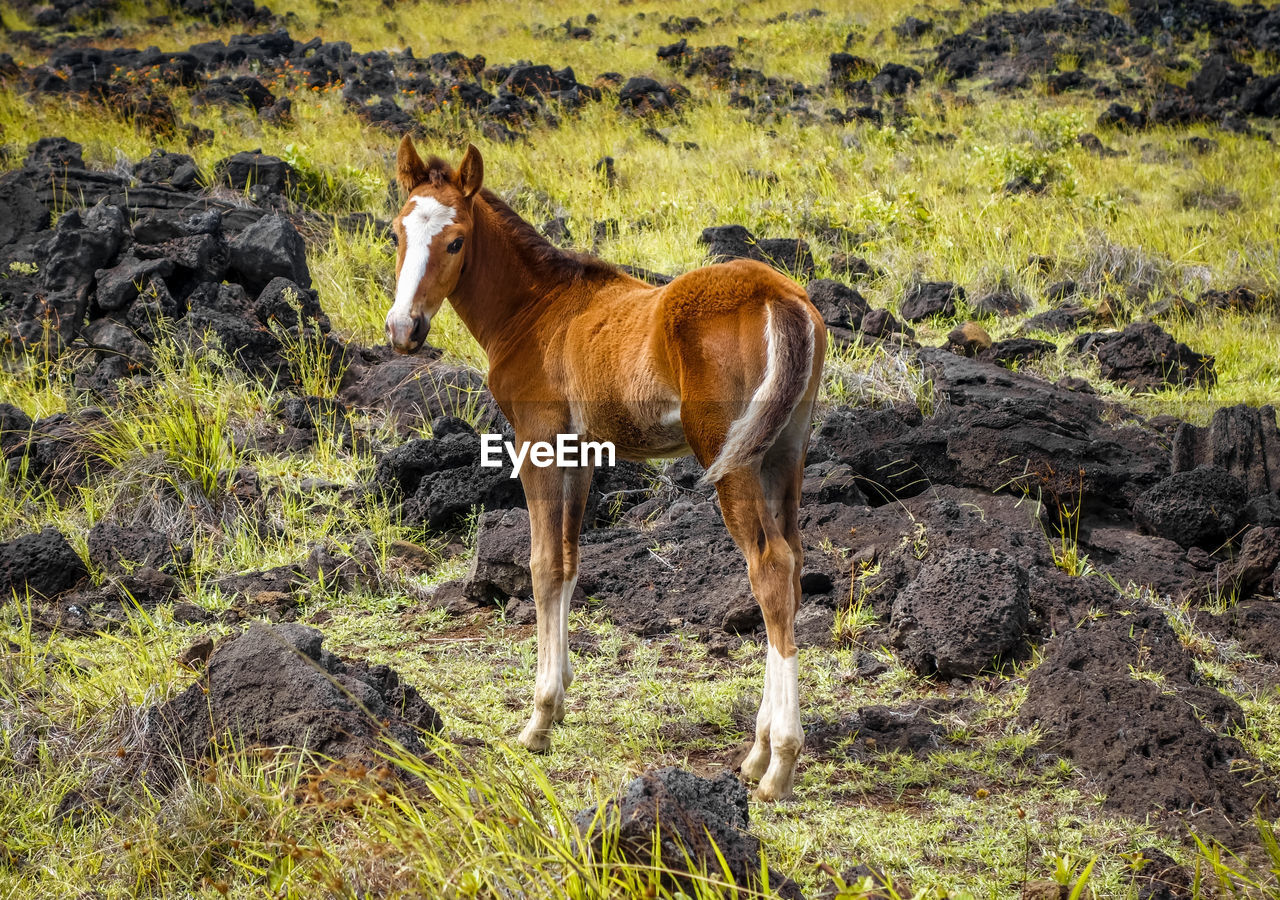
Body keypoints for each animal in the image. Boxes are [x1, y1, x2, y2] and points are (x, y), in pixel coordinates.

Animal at [384, 136, 824, 798]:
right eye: (397, 233)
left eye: (456, 240)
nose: (403, 329)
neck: (537, 307)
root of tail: (779, 295)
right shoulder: (581, 450)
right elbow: (569, 562)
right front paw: (561, 697)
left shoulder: (538, 440)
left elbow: (542, 566)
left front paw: (539, 719)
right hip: (782, 452)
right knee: (792, 565)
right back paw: (755, 753)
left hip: (730, 457)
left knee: (769, 569)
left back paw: (778, 765)